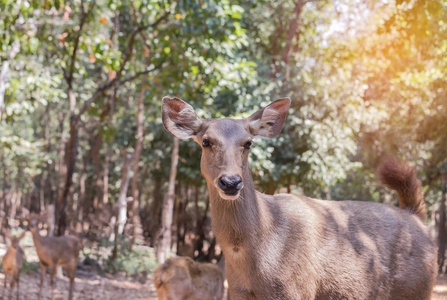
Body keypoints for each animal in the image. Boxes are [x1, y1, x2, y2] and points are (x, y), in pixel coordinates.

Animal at [162, 96, 438, 300]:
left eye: (248, 142)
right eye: (206, 141)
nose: (230, 182)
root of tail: (418, 217)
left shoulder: (295, 289)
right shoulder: (237, 291)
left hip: (418, 288)